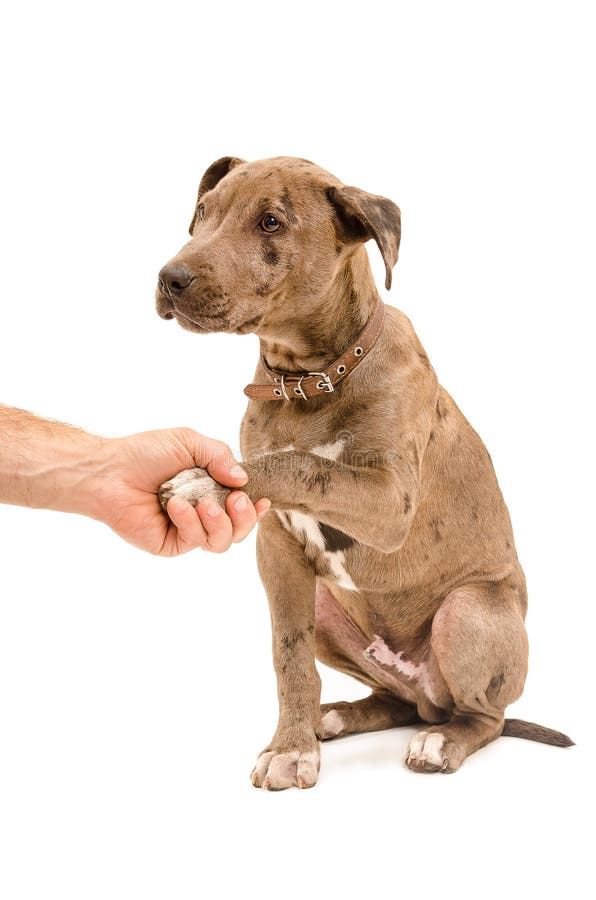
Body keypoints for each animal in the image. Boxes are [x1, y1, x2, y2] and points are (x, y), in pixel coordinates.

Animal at [155, 158, 572, 792]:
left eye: (271, 222)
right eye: (203, 211)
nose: (168, 278)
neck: (308, 380)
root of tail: (429, 696)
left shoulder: (389, 502)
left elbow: (301, 463)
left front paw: (205, 481)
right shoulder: (278, 551)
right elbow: (290, 656)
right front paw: (292, 746)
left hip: (466, 613)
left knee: (486, 716)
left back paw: (441, 743)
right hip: (330, 609)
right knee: (395, 700)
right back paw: (336, 716)